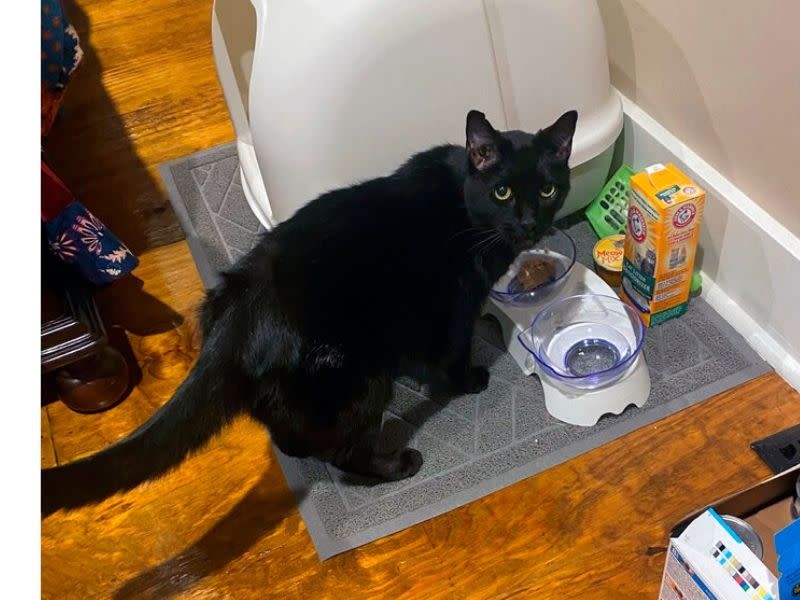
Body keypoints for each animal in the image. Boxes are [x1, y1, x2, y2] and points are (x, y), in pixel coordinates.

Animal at [40, 108, 580, 516]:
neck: (467, 207)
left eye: (548, 190)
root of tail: (239, 311)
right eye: (502, 192)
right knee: (344, 453)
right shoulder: (455, 305)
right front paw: (470, 380)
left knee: (289, 432)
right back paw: (398, 464)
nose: (530, 224)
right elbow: (453, 352)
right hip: (361, 381)